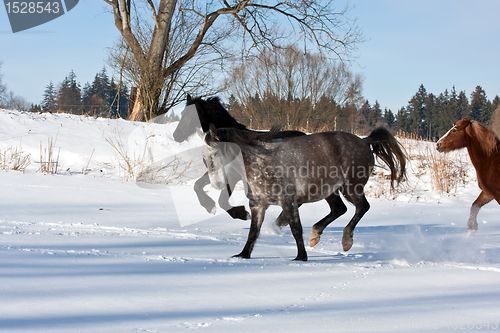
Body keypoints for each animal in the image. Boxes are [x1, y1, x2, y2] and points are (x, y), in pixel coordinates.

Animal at [203, 124, 406, 260]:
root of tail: (364, 141)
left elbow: (296, 229)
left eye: (216, 154)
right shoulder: (258, 205)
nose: (217, 183)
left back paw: (346, 240)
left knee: (362, 207)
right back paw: (315, 234)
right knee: (339, 209)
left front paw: (301, 257)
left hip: (351, 187)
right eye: (205, 158)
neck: (260, 162)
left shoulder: (288, 202)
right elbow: (253, 232)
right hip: (330, 190)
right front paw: (242, 255)